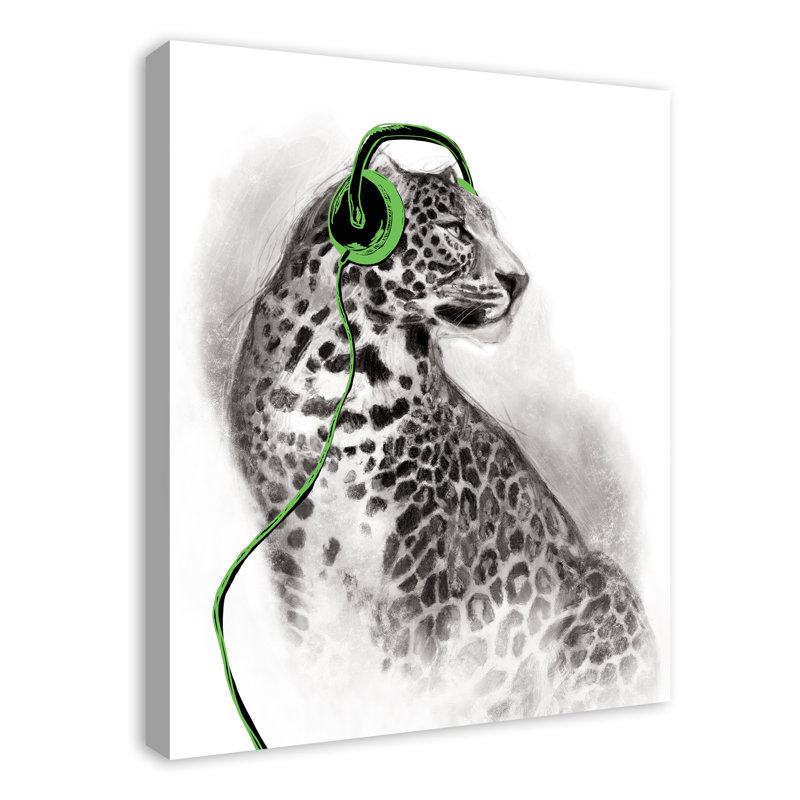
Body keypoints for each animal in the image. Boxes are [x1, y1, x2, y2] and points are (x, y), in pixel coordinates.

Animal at [226, 153, 657, 726]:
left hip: (604, 589)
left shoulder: (420, 568)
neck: (341, 368)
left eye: (490, 227)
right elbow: (316, 655)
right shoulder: (288, 553)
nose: (519, 279)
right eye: (456, 229)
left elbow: (406, 676)